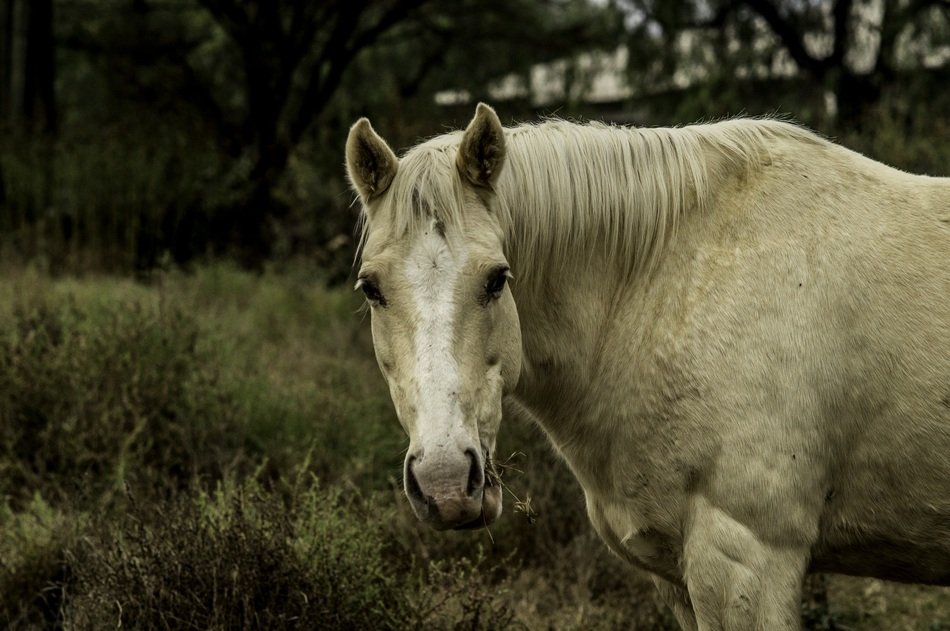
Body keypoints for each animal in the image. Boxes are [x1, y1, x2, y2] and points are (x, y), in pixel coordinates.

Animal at [344, 103, 950, 630]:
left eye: (497, 278)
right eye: (371, 288)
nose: (445, 483)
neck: (667, 290)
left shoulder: (749, 561)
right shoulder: (679, 576)